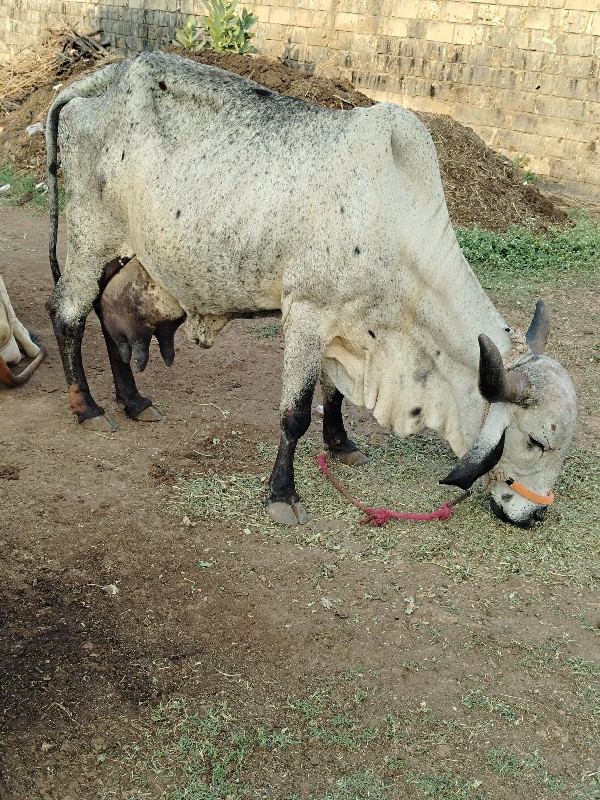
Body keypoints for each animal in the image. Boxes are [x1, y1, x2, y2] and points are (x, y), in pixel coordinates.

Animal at [45, 50, 576, 524]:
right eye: (535, 441)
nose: (532, 516)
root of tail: (105, 79)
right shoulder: (305, 312)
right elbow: (295, 412)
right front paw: (282, 494)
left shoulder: (344, 327)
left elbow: (334, 394)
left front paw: (340, 444)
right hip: (90, 237)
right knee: (68, 313)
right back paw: (88, 407)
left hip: (123, 253)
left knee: (106, 314)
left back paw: (133, 401)